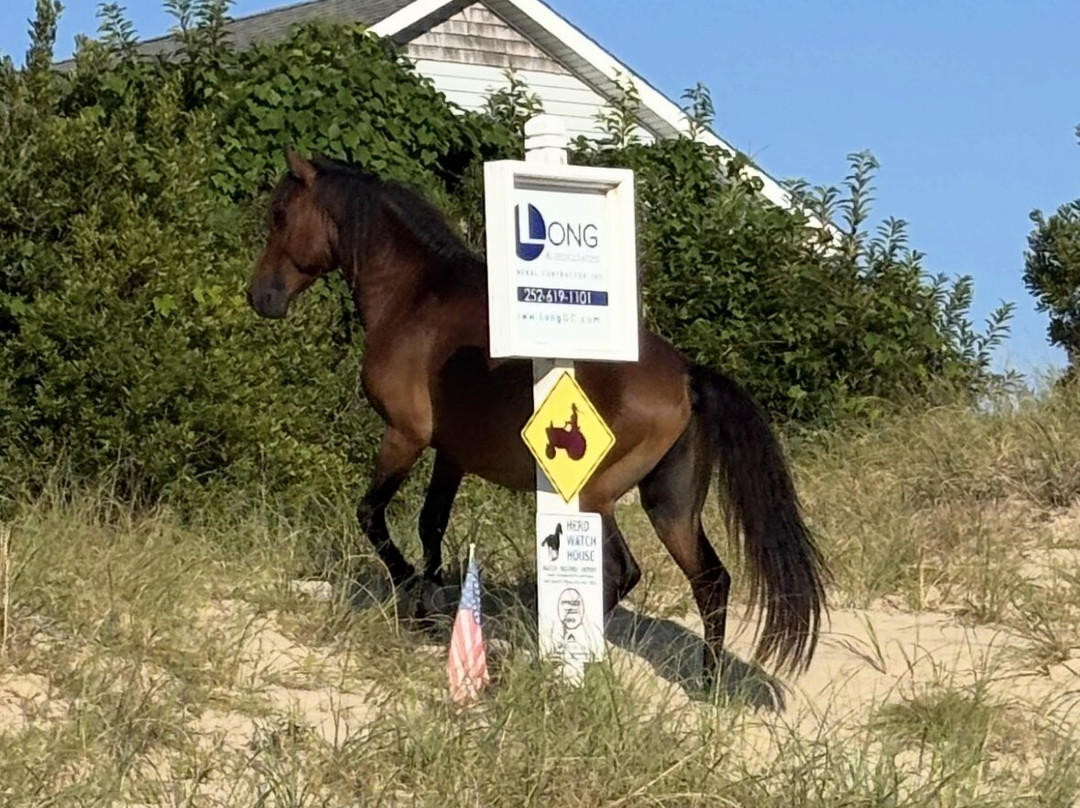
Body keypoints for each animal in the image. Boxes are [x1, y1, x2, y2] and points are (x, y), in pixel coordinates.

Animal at [246, 148, 828, 685]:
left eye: (280, 214)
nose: (259, 296)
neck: (414, 296)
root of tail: (687, 374)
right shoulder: (451, 454)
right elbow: (431, 525)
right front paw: (433, 611)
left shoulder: (404, 437)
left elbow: (372, 516)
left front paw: (413, 595)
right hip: (671, 506)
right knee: (710, 580)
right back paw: (706, 683)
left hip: (596, 496)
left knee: (621, 572)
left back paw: (544, 650)